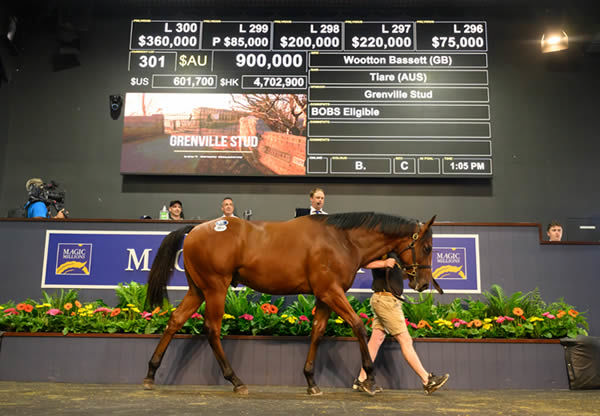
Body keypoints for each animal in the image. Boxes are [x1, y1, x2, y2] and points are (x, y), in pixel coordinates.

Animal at [144, 213, 436, 394]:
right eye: (427, 247)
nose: (423, 283)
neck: (342, 240)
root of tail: (195, 228)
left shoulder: (324, 295)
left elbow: (317, 331)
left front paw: (311, 381)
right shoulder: (332, 292)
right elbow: (357, 326)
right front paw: (370, 379)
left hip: (198, 290)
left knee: (175, 320)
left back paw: (151, 374)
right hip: (216, 287)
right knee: (212, 329)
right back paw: (236, 381)